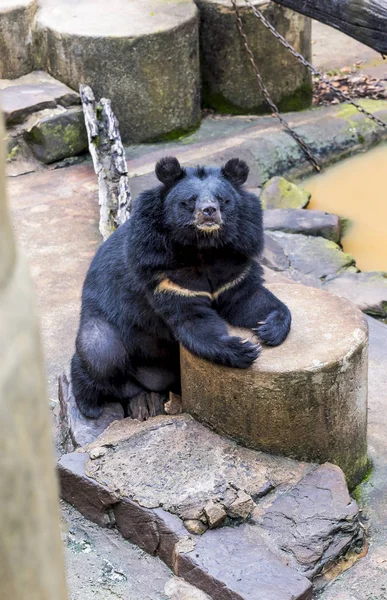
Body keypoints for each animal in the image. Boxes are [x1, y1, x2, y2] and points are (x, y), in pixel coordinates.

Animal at [72, 157, 292, 418]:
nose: (209, 211)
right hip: (107, 323)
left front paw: (269, 329)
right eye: (190, 200)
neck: (205, 248)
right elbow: (191, 319)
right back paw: (90, 406)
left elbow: (249, 299)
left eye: (222, 199)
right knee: (99, 351)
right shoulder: (165, 275)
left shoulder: (235, 262)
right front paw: (243, 348)